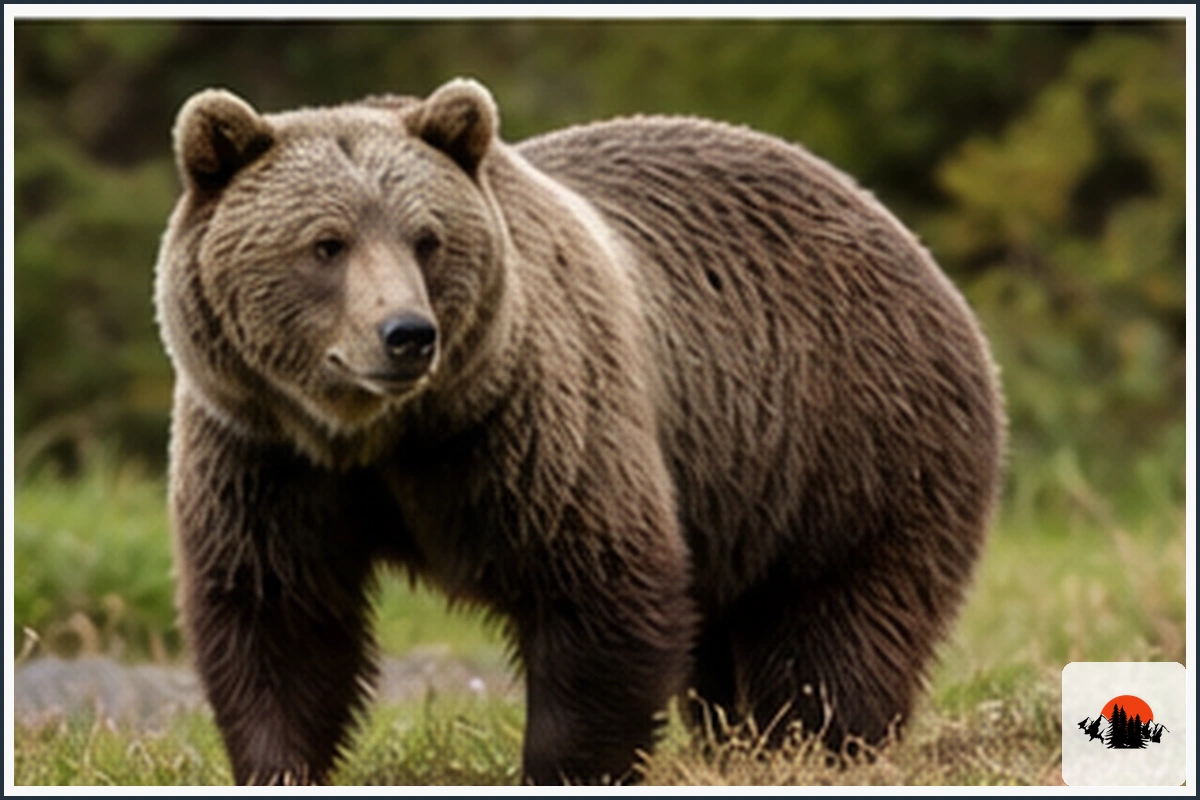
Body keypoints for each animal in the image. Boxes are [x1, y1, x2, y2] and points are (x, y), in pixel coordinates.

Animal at [153, 77, 1005, 786]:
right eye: (326, 243)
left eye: (427, 238)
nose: (407, 334)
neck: (383, 434)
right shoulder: (264, 452)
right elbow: (276, 613)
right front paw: (278, 764)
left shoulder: (529, 426)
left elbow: (597, 589)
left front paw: (567, 765)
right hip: (747, 485)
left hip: (849, 439)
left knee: (834, 620)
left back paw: (811, 744)